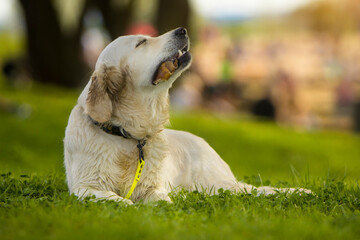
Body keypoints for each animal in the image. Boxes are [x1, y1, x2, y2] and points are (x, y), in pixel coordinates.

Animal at [64, 28, 310, 204]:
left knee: (252, 191)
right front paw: (128, 205)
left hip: (218, 185)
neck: (127, 134)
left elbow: (161, 200)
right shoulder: (84, 188)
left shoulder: (154, 188)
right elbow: (118, 200)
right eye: (141, 42)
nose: (182, 30)